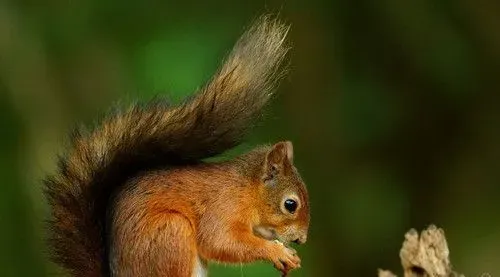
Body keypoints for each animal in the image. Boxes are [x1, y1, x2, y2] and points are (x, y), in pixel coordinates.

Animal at [44, 15, 308, 276]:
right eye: (290, 204)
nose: (301, 240)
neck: (247, 189)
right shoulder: (223, 207)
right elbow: (220, 241)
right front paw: (277, 251)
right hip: (171, 232)